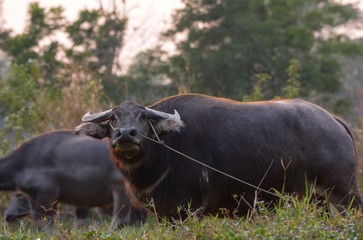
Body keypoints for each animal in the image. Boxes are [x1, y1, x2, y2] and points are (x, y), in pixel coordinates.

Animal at [0, 130, 148, 230]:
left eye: (19, 195)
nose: (8, 215)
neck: (22, 164)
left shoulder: (47, 194)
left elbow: (44, 222)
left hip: (121, 190)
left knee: (121, 220)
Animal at [75, 94, 362, 219]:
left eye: (143, 116)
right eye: (113, 118)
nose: (126, 134)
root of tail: (334, 120)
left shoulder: (189, 209)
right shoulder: (165, 213)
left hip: (344, 192)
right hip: (316, 199)